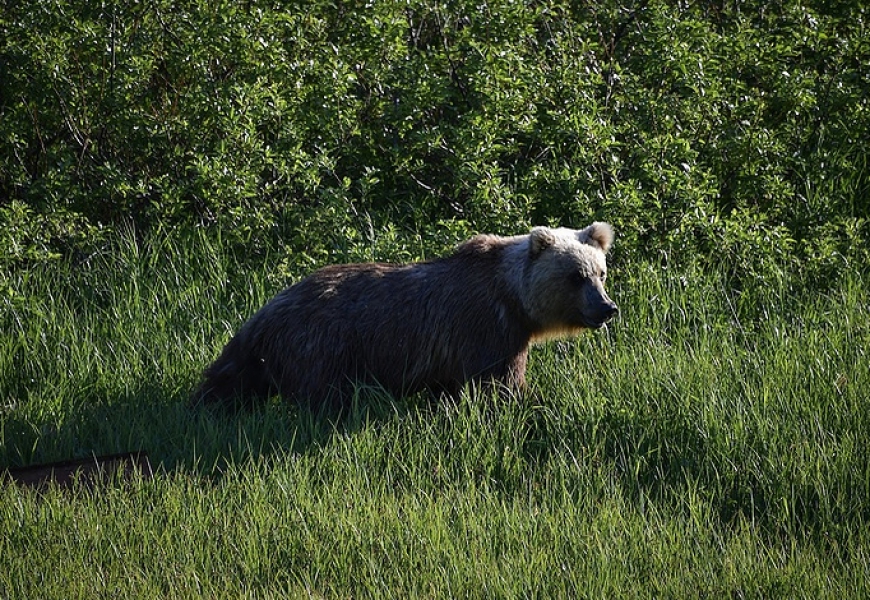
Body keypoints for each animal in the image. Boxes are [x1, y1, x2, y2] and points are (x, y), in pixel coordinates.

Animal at [195, 223, 617, 410]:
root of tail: (266, 311)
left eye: (600, 272)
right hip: (321, 345)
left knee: (230, 377)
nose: (606, 308)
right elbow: (500, 383)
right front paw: (531, 401)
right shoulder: (487, 328)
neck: (514, 299)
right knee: (322, 394)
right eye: (575, 276)